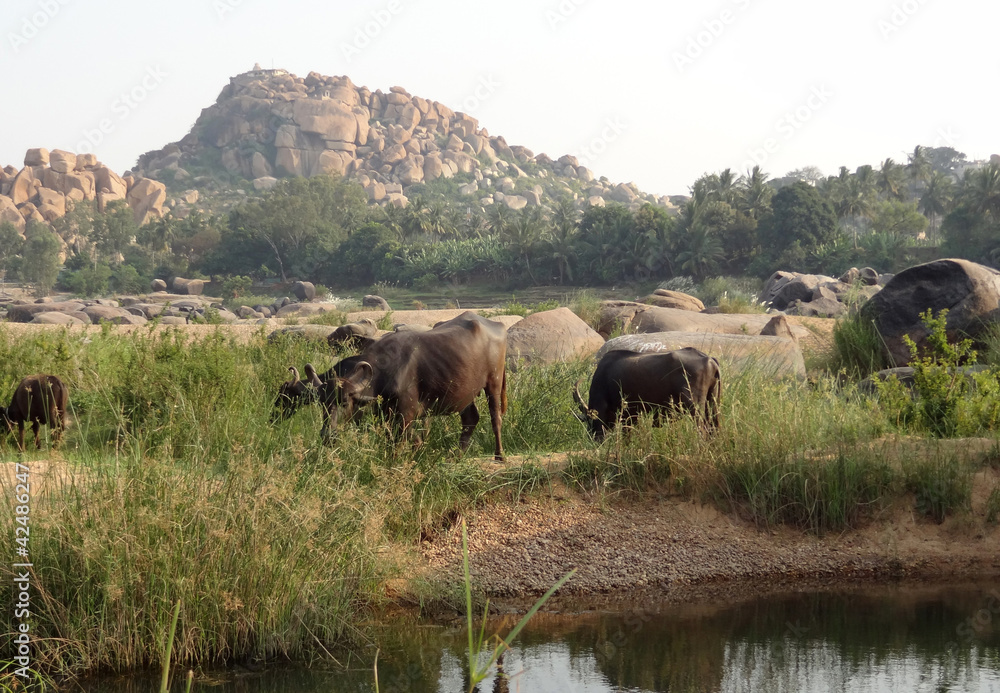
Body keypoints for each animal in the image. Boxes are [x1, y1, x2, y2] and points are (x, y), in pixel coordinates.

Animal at [318, 310, 512, 456]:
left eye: (344, 402)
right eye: (323, 404)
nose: (327, 435)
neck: (385, 373)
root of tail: (498, 326)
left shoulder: (406, 413)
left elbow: (399, 443)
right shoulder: (388, 415)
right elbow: (407, 439)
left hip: (494, 382)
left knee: (495, 417)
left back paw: (499, 455)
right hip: (465, 391)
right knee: (471, 418)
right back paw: (457, 455)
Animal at [576, 348, 724, 440]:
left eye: (589, 420)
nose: (591, 437)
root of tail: (709, 359)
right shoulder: (631, 416)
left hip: (695, 406)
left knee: (702, 430)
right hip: (712, 404)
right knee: (714, 429)